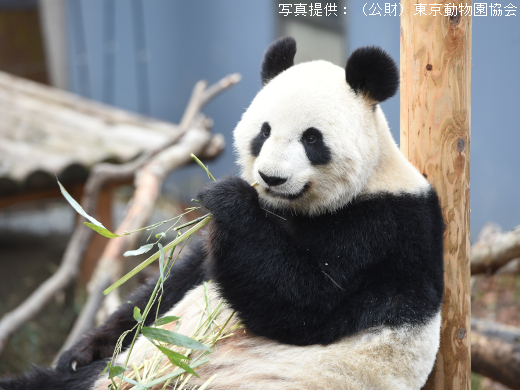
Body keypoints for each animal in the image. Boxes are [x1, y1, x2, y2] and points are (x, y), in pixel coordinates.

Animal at [2, 37, 444, 390]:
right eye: (264, 131)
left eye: (312, 139)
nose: (271, 177)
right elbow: (171, 286)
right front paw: (82, 349)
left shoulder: (382, 230)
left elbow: (304, 303)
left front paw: (227, 197)